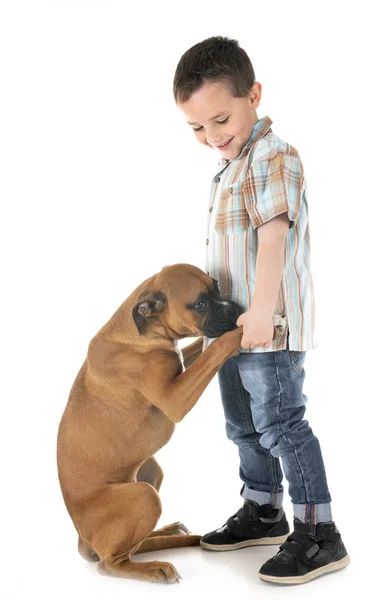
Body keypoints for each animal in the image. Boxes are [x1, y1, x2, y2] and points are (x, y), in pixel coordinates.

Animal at [56, 262, 284, 580]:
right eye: (200, 304)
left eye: (216, 287)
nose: (235, 308)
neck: (142, 330)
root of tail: (83, 540)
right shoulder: (175, 398)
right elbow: (215, 349)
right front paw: (248, 328)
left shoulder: (181, 364)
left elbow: (202, 346)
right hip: (144, 496)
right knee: (111, 562)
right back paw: (154, 568)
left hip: (151, 472)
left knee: (134, 545)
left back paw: (172, 533)